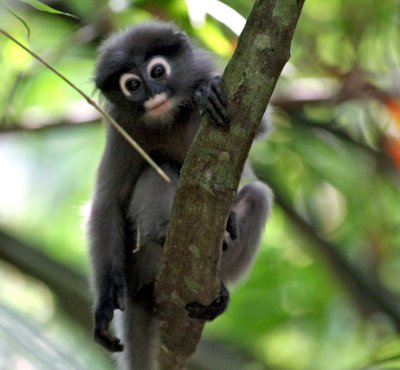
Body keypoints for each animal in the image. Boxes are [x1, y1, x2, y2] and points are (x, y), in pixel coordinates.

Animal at [88, 21, 272, 368]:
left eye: (158, 71)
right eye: (133, 85)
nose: (152, 94)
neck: (169, 115)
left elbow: (260, 125)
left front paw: (205, 93)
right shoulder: (121, 127)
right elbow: (108, 201)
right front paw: (105, 302)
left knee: (257, 194)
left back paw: (220, 281)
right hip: (143, 260)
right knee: (160, 168)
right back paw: (163, 234)